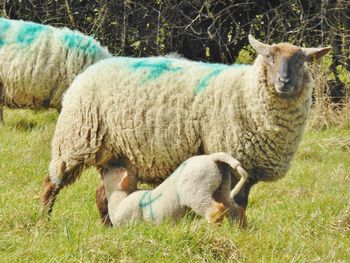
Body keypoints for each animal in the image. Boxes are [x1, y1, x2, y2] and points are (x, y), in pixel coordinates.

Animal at [104, 154, 249, 228]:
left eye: (116, 171)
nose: (106, 167)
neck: (119, 199)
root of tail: (212, 157)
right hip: (221, 187)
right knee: (236, 209)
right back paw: (239, 230)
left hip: (195, 190)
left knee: (215, 211)